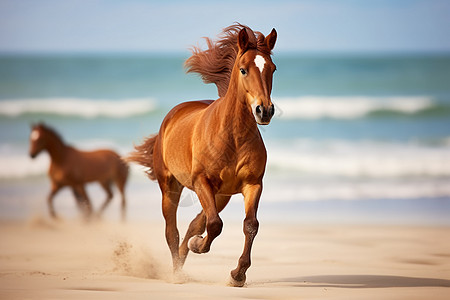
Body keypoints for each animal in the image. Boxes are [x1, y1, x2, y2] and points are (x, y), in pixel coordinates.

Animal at [125, 24, 276, 288]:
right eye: (243, 69)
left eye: (273, 69)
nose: (264, 111)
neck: (233, 137)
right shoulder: (201, 182)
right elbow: (215, 224)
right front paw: (198, 246)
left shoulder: (253, 184)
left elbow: (250, 226)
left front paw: (238, 274)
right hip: (170, 187)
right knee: (172, 231)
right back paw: (177, 273)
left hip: (222, 195)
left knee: (196, 223)